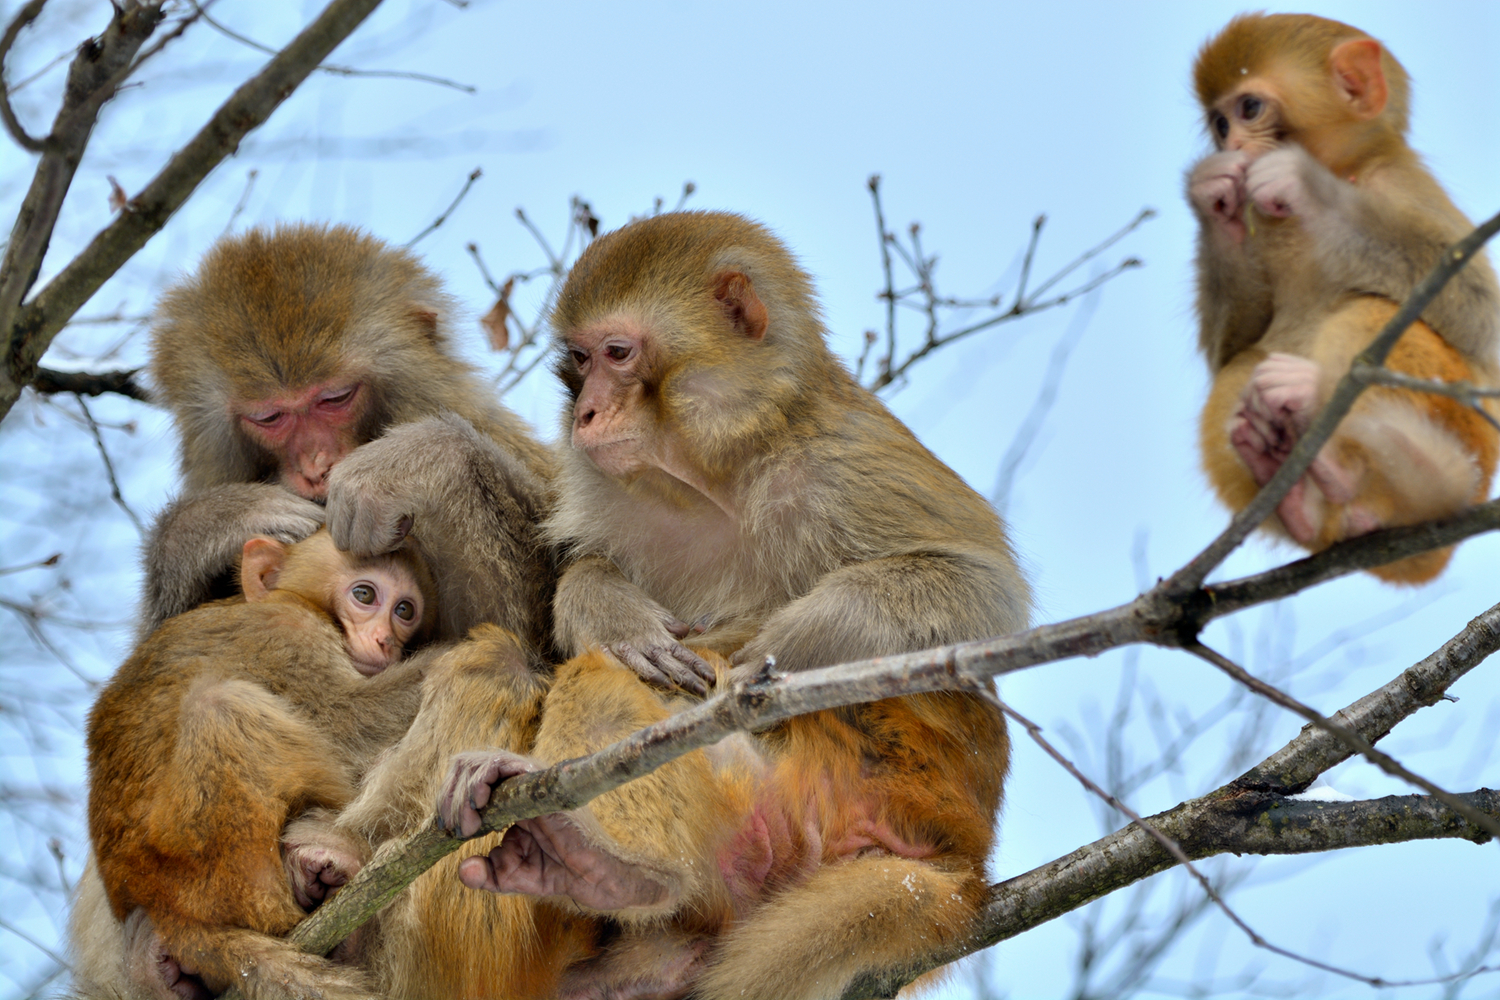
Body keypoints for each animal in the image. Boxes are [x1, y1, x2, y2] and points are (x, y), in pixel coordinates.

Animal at [1188, 11, 1494, 581]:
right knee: (1242, 367)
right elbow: (1230, 347)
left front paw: (1307, 187)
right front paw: (1211, 193)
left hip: (1472, 442)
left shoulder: (1400, 185)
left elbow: (1480, 316)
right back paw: (1302, 494)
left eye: (1248, 109)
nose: (1231, 147)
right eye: (1219, 125)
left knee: (1371, 310)